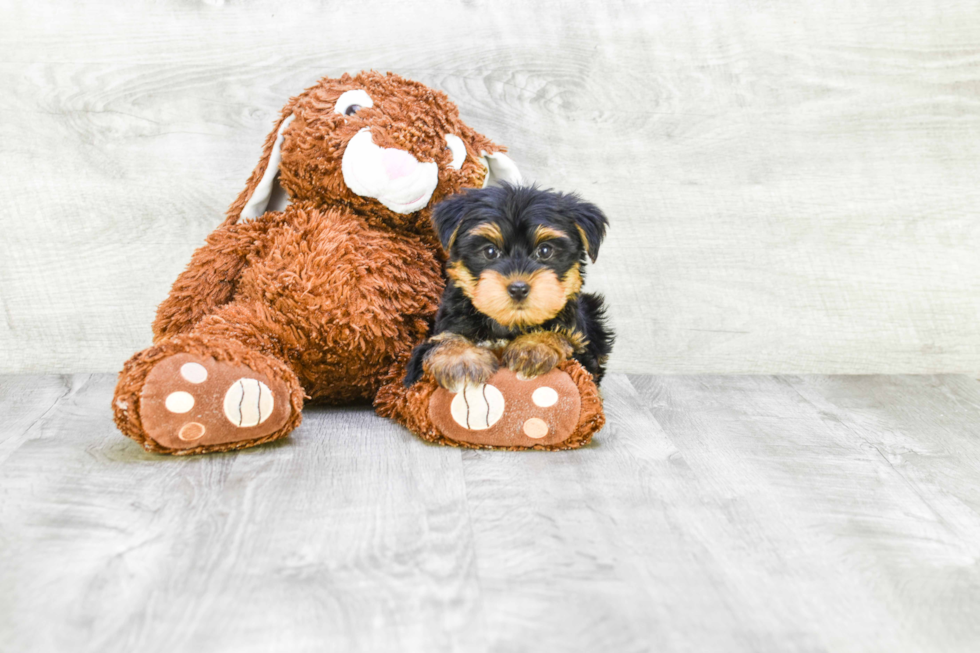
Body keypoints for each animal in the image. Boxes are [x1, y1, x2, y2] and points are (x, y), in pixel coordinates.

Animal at [406, 181, 612, 390]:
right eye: (490, 251)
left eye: (545, 251)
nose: (518, 289)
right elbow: (441, 340)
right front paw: (459, 358)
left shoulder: (581, 352)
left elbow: (564, 338)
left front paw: (535, 345)